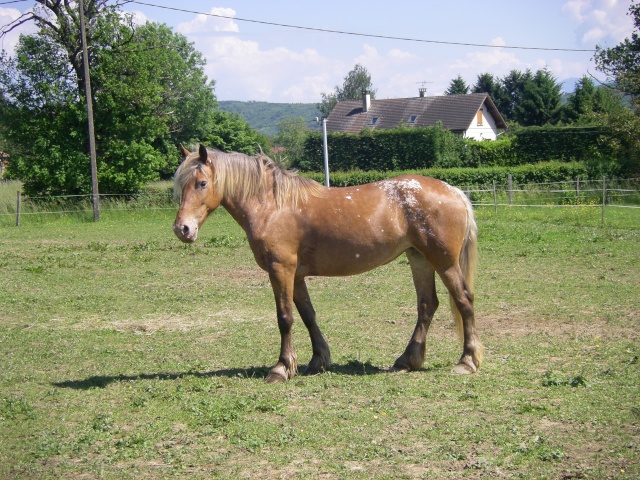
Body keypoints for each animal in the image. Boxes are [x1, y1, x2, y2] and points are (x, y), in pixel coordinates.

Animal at [172, 143, 482, 382]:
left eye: (201, 183)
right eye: (180, 185)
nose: (182, 229)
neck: (273, 206)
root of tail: (454, 191)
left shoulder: (280, 270)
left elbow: (285, 318)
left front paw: (281, 368)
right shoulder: (296, 276)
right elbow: (308, 315)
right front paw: (318, 360)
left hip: (444, 262)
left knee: (464, 300)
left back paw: (467, 361)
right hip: (419, 259)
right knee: (427, 305)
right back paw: (407, 360)